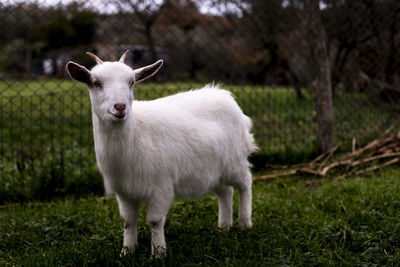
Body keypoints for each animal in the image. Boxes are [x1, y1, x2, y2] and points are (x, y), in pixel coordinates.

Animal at [65, 50, 256, 258]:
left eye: (131, 82)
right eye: (96, 82)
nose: (120, 107)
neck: (135, 134)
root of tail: (224, 95)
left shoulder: (160, 186)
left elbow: (155, 221)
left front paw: (158, 254)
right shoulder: (125, 191)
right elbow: (128, 221)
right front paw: (127, 251)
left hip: (235, 160)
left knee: (245, 183)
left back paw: (245, 223)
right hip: (213, 169)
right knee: (225, 191)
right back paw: (224, 227)